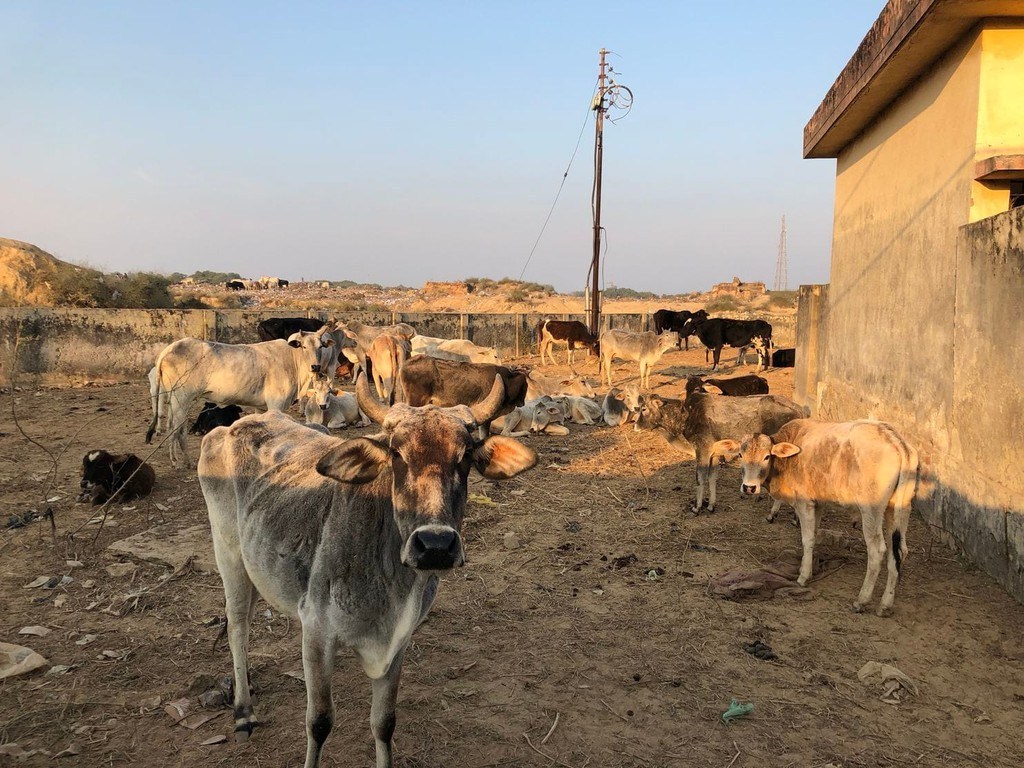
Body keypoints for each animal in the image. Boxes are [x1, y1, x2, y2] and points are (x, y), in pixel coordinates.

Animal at [146, 325, 335, 468]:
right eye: (303, 346)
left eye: (320, 346)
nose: (315, 366)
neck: (292, 360)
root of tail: (170, 348)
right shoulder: (276, 404)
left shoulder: (261, 408)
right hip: (182, 399)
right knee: (177, 430)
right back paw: (181, 462)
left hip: (174, 399)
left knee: (172, 426)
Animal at [195, 376, 540, 768]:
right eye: (396, 454)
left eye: (465, 456)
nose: (435, 545)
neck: (390, 583)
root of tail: (232, 426)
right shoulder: (317, 634)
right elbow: (319, 723)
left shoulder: (399, 641)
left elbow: (384, 722)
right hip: (229, 557)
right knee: (238, 627)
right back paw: (243, 711)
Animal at [630, 393, 806, 514]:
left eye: (644, 409)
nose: (635, 426)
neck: (685, 416)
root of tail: (800, 410)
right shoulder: (714, 454)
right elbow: (712, 478)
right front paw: (711, 505)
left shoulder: (702, 450)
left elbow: (700, 479)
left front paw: (697, 507)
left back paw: (773, 514)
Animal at [712, 417, 921, 618]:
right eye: (741, 455)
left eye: (767, 456)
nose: (749, 487)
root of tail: (896, 440)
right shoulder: (818, 503)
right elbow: (814, 534)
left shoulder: (804, 503)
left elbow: (808, 539)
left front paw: (803, 577)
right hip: (899, 510)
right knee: (899, 551)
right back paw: (885, 605)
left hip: (871, 510)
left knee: (877, 550)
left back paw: (861, 600)